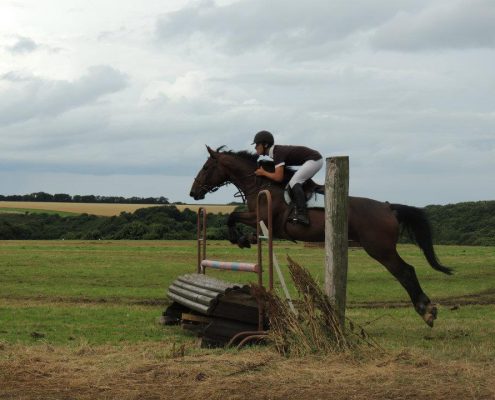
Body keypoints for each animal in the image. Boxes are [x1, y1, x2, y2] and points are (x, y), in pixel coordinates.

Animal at [190, 145, 454, 326]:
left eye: (206, 168)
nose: (193, 192)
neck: (261, 183)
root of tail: (388, 207)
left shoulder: (261, 216)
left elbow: (232, 216)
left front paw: (239, 238)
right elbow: (241, 223)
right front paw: (245, 240)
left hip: (379, 248)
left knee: (405, 271)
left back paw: (426, 310)